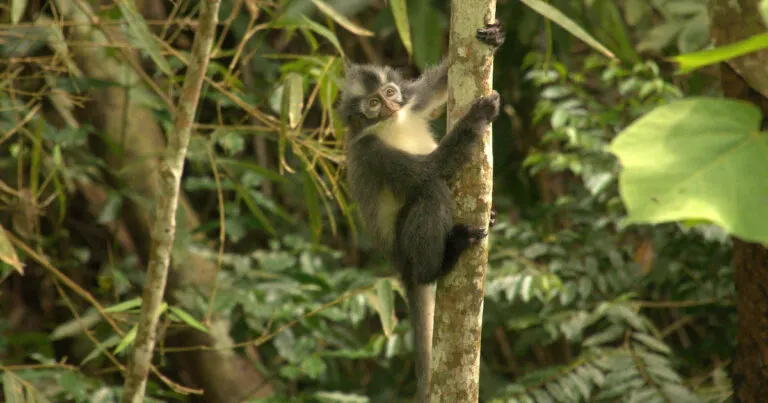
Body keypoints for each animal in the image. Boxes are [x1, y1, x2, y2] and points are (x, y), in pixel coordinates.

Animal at [338, 21, 505, 402]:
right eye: (373, 103)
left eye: (389, 92)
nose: (388, 104)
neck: (388, 124)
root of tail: (399, 265)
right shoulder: (371, 152)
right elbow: (431, 170)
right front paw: (475, 118)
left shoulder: (411, 101)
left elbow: (438, 85)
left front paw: (494, 37)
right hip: (406, 246)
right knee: (431, 192)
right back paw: (440, 263)